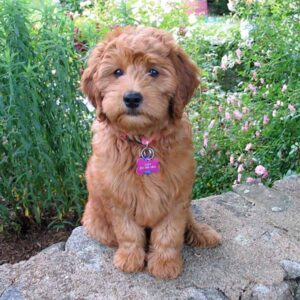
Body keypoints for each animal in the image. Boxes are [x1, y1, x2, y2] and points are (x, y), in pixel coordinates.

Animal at [79, 25, 220, 278]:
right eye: (117, 72)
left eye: (153, 72)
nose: (132, 97)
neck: (143, 142)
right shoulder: (117, 195)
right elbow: (128, 232)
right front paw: (130, 258)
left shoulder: (178, 192)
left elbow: (169, 232)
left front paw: (165, 263)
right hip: (97, 222)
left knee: (189, 221)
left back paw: (201, 233)